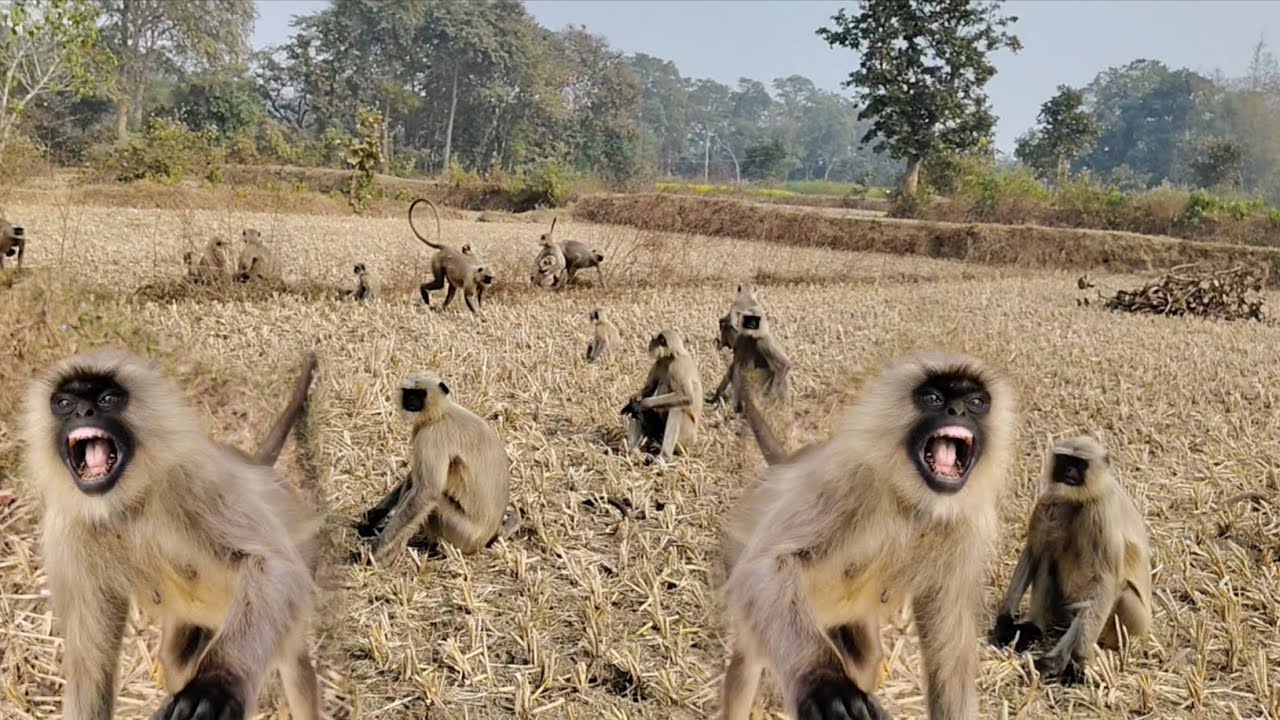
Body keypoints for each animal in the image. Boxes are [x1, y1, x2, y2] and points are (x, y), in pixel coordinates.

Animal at [22, 349, 323, 720]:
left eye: (107, 399)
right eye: (64, 403)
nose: (83, 411)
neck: (125, 505)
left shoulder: (188, 479)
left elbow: (271, 562)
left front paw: (216, 684)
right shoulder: (66, 530)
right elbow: (91, 671)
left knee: (291, 659)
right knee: (175, 658)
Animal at [353, 371, 514, 565]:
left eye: (420, 394)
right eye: (409, 393)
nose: (411, 402)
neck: (443, 413)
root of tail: (491, 536)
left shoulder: (433, 435)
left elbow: (427, 492)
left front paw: (375, 552)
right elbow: (414, 478)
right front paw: (373, 517)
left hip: (462, 533)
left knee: (432, 502)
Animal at [620, 328, 703, 462]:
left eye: (654, 340)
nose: (650, 343)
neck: (670, 357)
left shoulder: (679, 365)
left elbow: (687, 397)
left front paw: (641, 404)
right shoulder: (660, 362)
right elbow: (649, 389)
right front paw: (633, 400)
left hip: (687, 439)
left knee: (677, 409)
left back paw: (664, 457)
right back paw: (633, 452)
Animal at [718, 351, 1018, 720]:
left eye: (976, 402)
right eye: (933, 398)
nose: (958, 410)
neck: (913, 502)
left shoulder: (964, 526)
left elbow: (948, 660)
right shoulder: (853, 479)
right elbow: (769, 562)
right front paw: (825, 682)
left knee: (865, 656)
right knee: (750, 657)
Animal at [989, 436, 1152, 685]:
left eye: (1080, 464)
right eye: (1066, 460)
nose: (1068, 471)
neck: (1081, 500)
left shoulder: (1101, 514)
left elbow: (1105, 584)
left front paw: (1076, 662)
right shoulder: (1049, 500)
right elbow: (1033, 550)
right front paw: (1005, 622)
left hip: (1133, 626)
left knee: (1119, 593)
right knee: (1049, 552)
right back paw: (1035, 628)